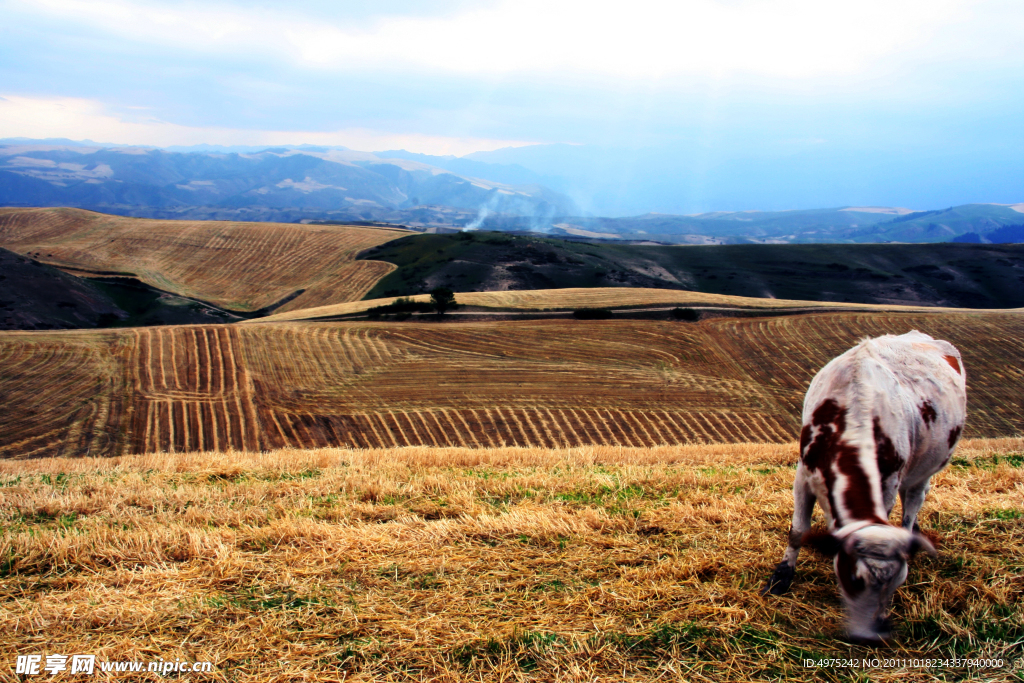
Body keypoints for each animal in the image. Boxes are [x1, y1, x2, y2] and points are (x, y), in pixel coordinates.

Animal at [761, 331, 966, 647]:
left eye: (896, 585)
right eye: (855, 580)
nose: (872, 634)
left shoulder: (889, 482)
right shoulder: (803, 474)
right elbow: (798, 531)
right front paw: (780, 579)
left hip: (925, 467)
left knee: (913, 502)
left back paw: (911, 527)